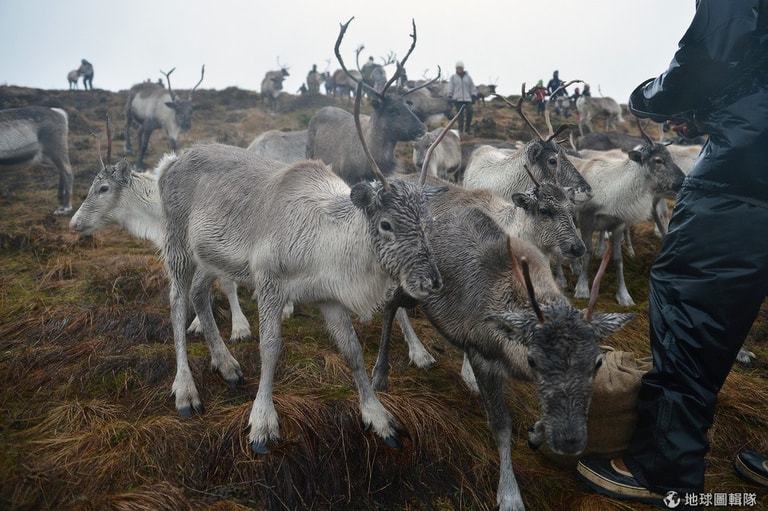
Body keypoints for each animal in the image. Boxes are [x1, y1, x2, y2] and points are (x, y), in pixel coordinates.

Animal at [375, 206, 634, 511]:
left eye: (597, 362)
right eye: (533, 360)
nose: (570, 440)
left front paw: (536, 433)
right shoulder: (483, 356)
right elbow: (501, 426)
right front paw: (510, 494)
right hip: (413, 288)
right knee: (390, 303)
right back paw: (382, 374)